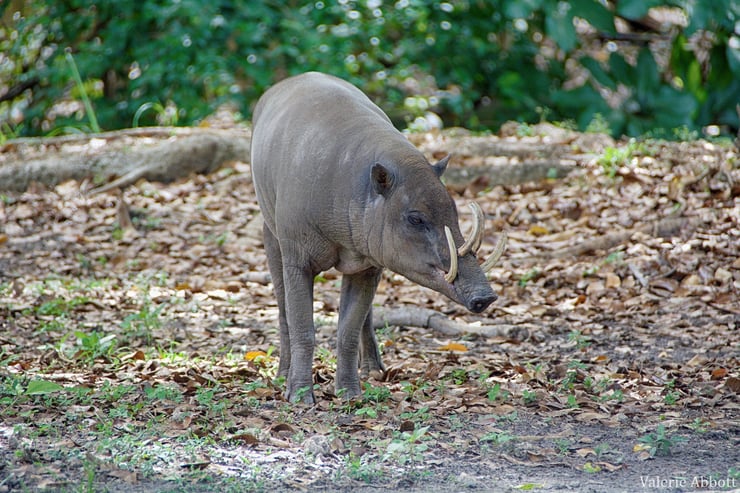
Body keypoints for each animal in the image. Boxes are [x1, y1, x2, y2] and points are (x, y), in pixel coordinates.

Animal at [250, 72, 505, 403]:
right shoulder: (297, 256)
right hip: (271, 233)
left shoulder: (369, 264)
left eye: (454, 212)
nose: (485, 297)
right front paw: (300, 395)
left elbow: (348, 328)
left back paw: (374, 370)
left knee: (366, 317)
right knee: (282, 307)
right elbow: (302, 327)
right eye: (415, 218)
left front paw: (349, 393)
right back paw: (282, 373)